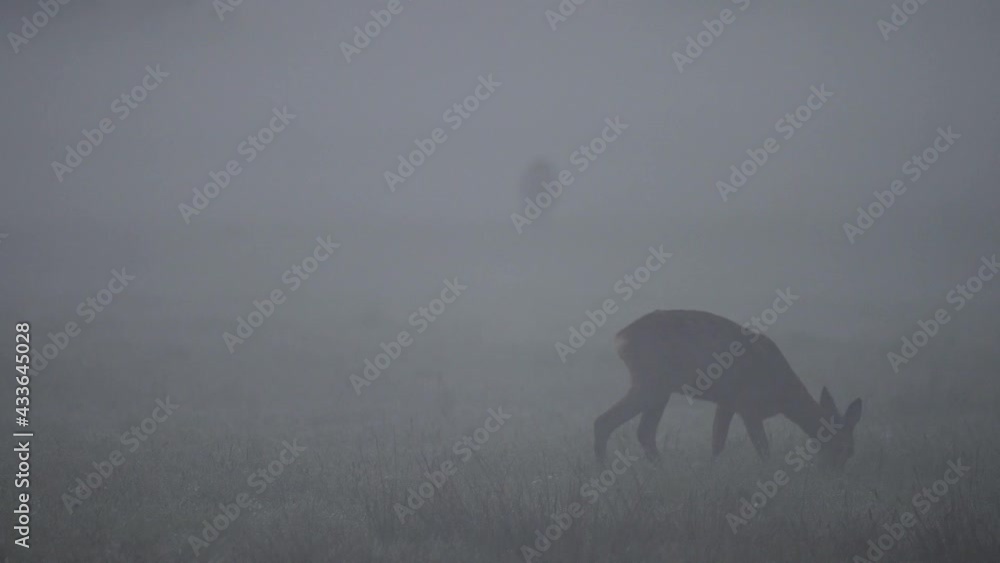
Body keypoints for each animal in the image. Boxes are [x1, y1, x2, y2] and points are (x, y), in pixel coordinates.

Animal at [594, 310, 862, 469]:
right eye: (844, 448)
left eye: (850, 451)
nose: (833, 472)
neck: (783, 394)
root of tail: (620, 339)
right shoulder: (747, 405)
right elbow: (763, 447)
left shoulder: (727, 402)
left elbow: (717, 441)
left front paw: (712, 470)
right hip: (650, 382)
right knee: (606, 421)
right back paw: (603, 469)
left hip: (660, 388)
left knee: (645, 431)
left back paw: (660, 469)